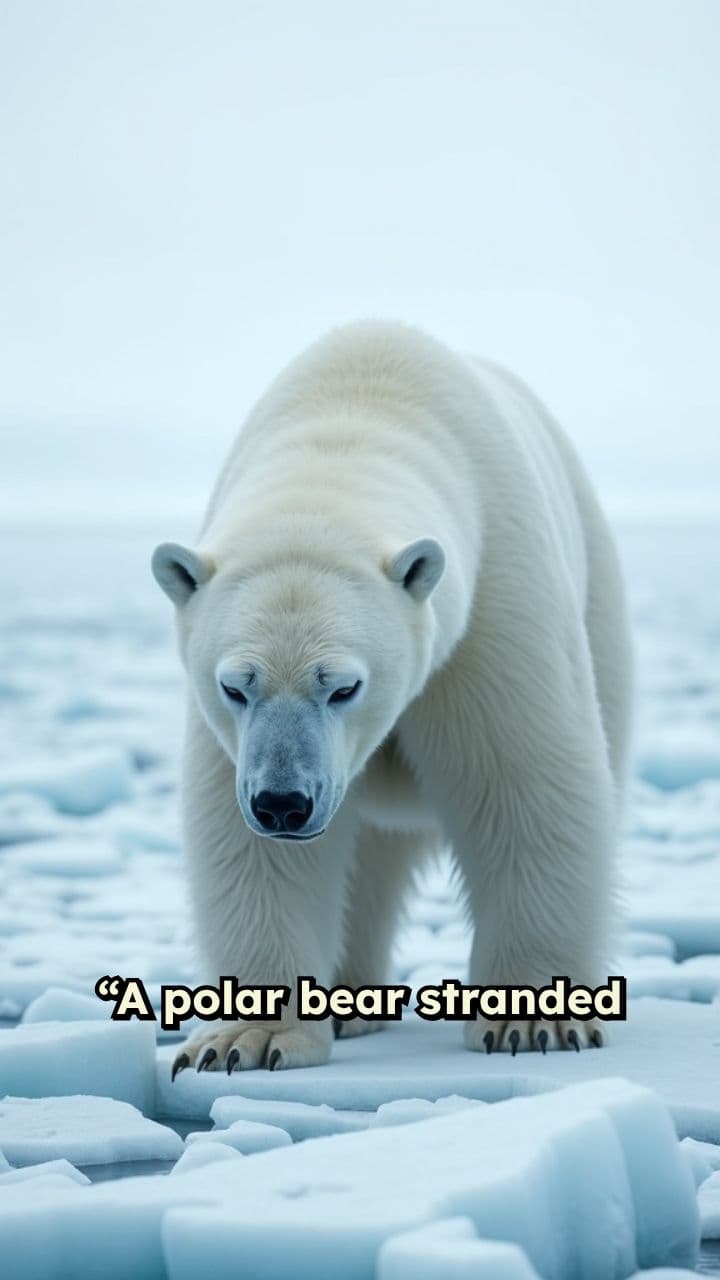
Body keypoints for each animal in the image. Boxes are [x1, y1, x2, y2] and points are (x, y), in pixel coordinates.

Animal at [152, 320, 633, 1074]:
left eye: (344, 685)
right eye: (235, 685)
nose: (283, 803)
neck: (358, 413)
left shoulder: (494, 604)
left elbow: (525, 787)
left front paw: (534, 1021)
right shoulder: (231, 737)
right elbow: (251, 849)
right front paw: (241, 1041)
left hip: (598, 606)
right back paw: (352, 1004)